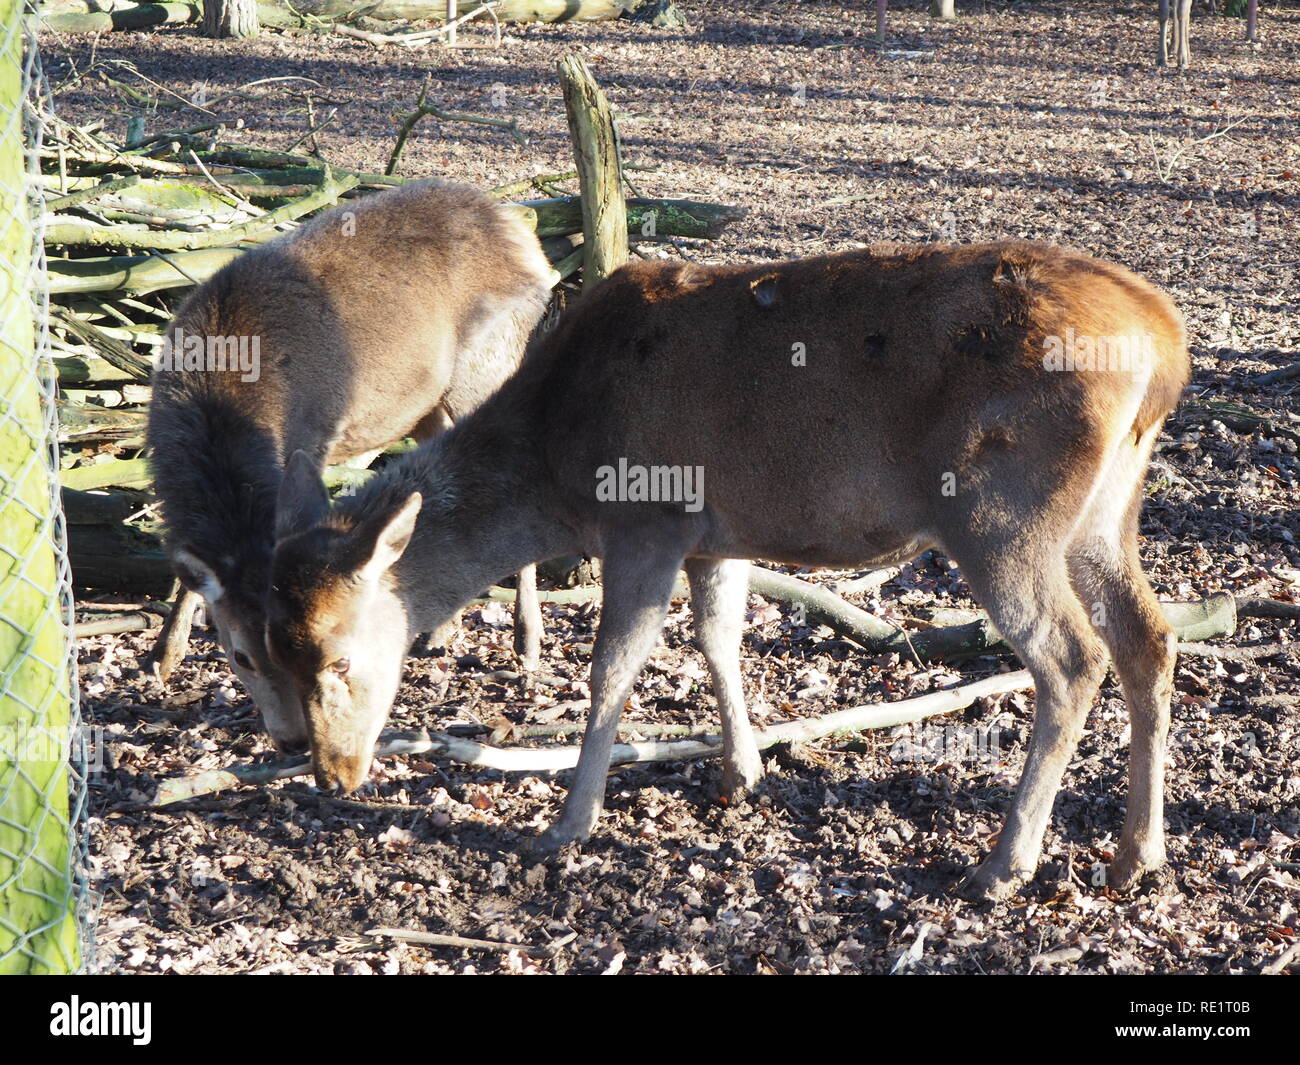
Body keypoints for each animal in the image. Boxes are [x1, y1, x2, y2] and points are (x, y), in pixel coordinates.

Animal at [147, 179, 553, 754]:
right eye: (241, 654)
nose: (294, 740)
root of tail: (523, 233)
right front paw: (164, 655)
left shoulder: (313, 441)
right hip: (426, 402)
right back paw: (440, 631)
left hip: (489, 364)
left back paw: (527, 641)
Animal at [263, 243, 1190, 899]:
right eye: (280, 650)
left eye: (337, 658)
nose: (331, 774)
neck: (556, 463)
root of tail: (1167, 346)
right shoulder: (717, 535)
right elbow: (718, 638)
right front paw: (740, 772)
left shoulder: (646, 518)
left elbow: (614, 668)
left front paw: (569, 823)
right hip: (1107, 510)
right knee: (1151, 638)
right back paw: (1135, 854)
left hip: (1003, 513)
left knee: (1072, 658)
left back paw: (1004, 865)